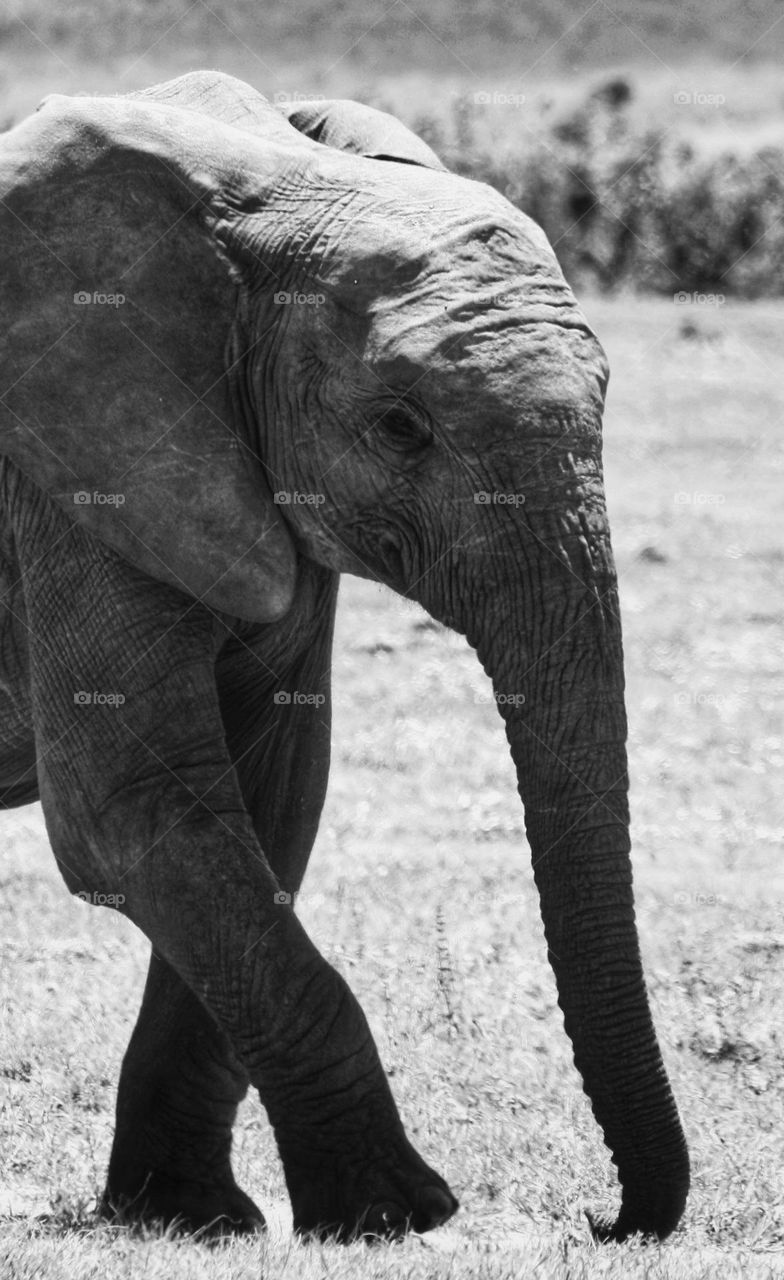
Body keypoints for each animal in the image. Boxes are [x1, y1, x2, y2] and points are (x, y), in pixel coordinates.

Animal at [0, 70, 689, 1242]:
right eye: (401, 428)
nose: (606, 1221)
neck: (266, 190)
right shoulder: (73, 463)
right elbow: (129, 812)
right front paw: (399, 1212)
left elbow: (270, 799)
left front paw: (189, 1215)